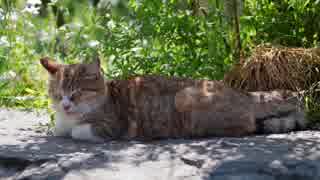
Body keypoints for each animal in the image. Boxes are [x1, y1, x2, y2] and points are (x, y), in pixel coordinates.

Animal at [39, 57, 304, 143]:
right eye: (58, 95)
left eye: (76, 93)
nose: (65, 105)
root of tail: (244, 94)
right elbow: (58, 130)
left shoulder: (113, 126)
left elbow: (77, 131)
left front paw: (74, 129)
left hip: (183, 97)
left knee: (247, 125)